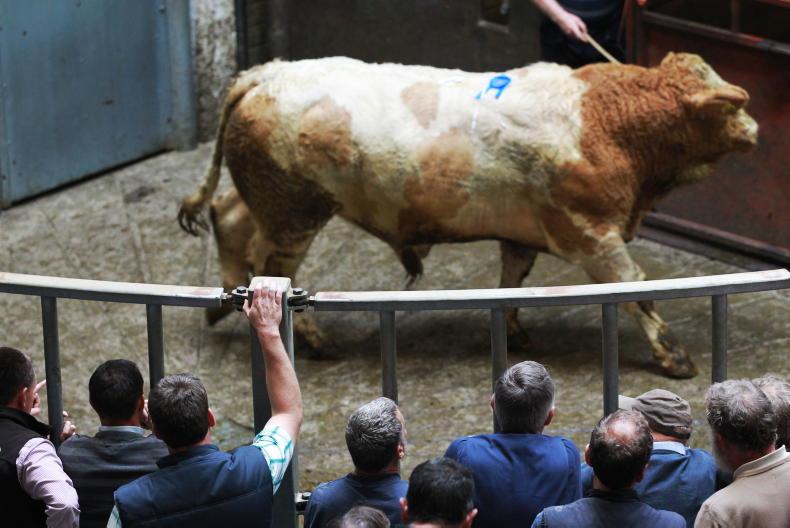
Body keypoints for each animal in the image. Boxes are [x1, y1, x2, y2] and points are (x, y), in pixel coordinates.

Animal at [178, 53, 757, 378]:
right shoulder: (595, 237)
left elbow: (513, 282)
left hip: (268, 196)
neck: (604, 119)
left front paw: (515, 333)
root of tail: (267, 73)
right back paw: (315, 341)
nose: (754, 129)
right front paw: (674, 358)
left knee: (228, 216)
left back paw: (222, 303)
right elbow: (639, 291)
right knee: (276, 268)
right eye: (729, 106)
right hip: (296, 210)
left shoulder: (524, 234)